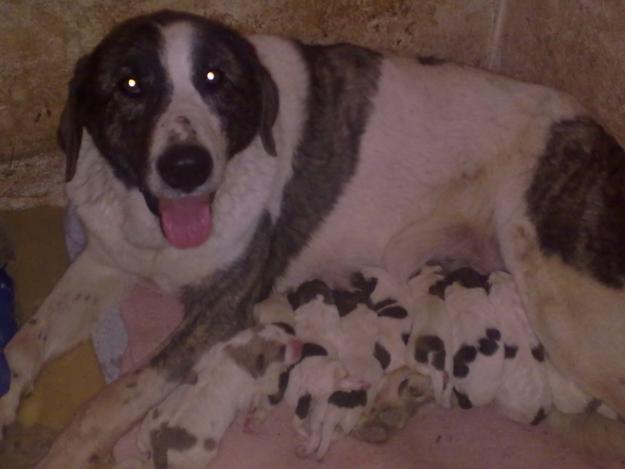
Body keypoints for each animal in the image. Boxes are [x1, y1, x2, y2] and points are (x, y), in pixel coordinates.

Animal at [1, 9, 624, 466]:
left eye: (214, 80)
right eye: (131, 84)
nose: (186, 166)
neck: (150, 224)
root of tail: (597, 133)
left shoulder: (222, 310)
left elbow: (115, 395)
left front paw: (64, 452)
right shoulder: (105, 258)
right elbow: (27, 341)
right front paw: (9, 394)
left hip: (562, 308)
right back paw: (394, 403)